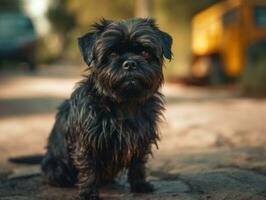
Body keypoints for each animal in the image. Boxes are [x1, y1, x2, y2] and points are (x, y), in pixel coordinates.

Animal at [41, 18, 172, 199]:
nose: (130, 63)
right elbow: (89, 169)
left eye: (144, 52)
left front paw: (139, 185)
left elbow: (138, 164)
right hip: (56, 167)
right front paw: (88, 192)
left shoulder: (142, 138)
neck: (123, 103)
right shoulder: (87, 143)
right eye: (111, 54)